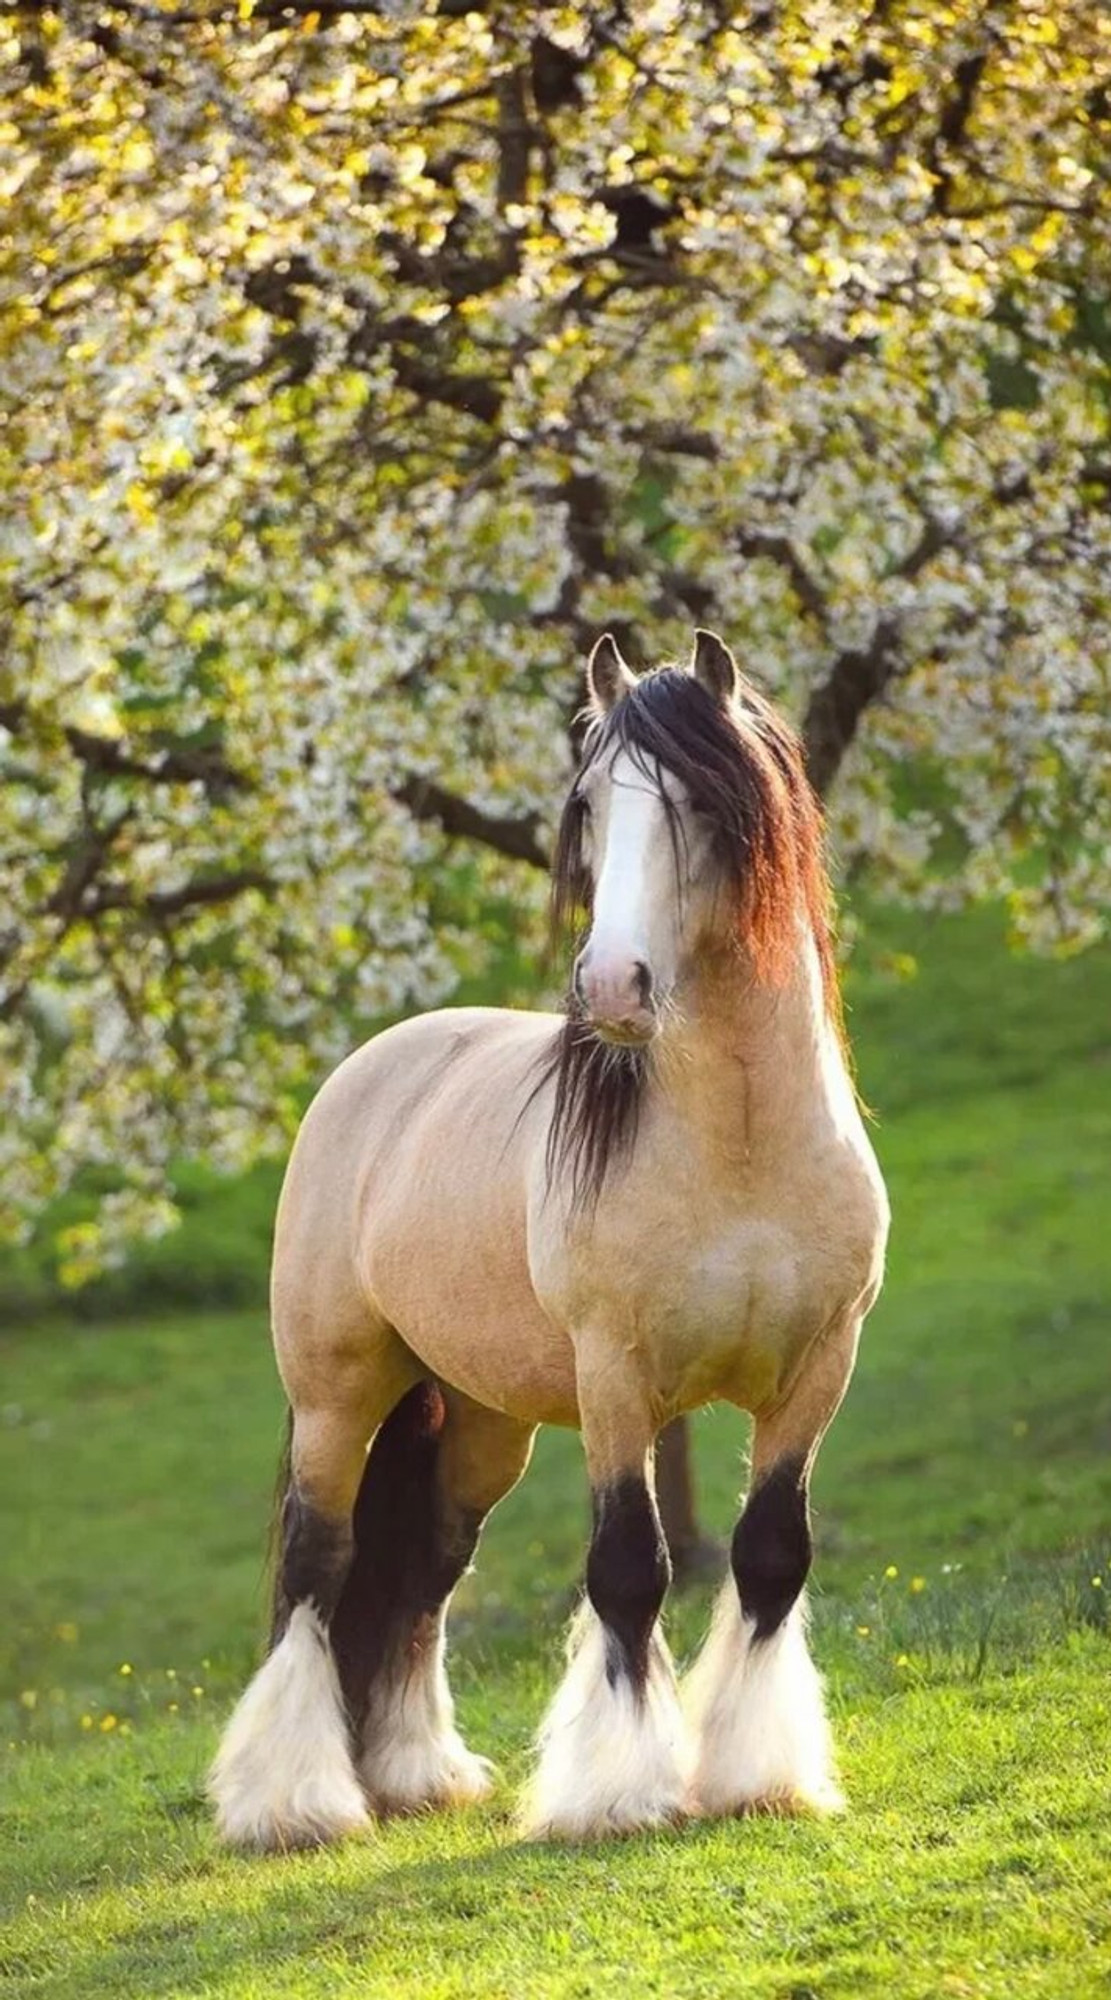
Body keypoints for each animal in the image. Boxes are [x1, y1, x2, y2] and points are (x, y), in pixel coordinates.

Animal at [205, 632, 887, 1848]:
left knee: (428, 1568)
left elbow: (770, 1558)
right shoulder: (616, 1380)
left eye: (699, 801)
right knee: (319, 1564)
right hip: (339, 1394)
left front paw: (754, 1775)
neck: (743, 1152)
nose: (612, 984)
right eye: (587, 804)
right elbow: (626, 1571)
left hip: (481, 1420)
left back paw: (416, 1772)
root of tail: (369, 1070)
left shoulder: (817, 1372)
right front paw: (617, 1791)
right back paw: (296, 1801)